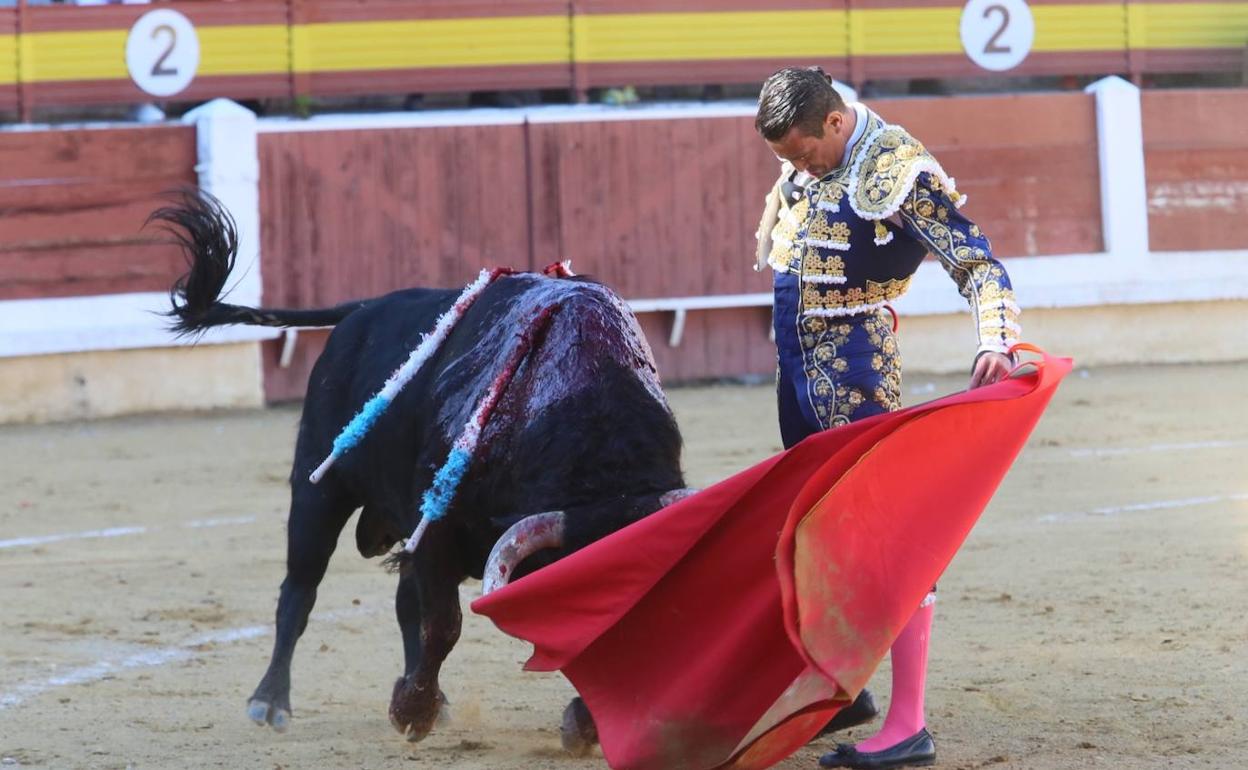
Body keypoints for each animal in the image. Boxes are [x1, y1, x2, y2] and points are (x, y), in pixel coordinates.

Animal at [158, 192, 693, 748]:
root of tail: (363, 310)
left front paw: (582, 723)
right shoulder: (436, 529)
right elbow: (443, 624)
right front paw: (410, 711)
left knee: (399, 603)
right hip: (317, 492)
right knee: (299, 592)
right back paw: (271, 701)